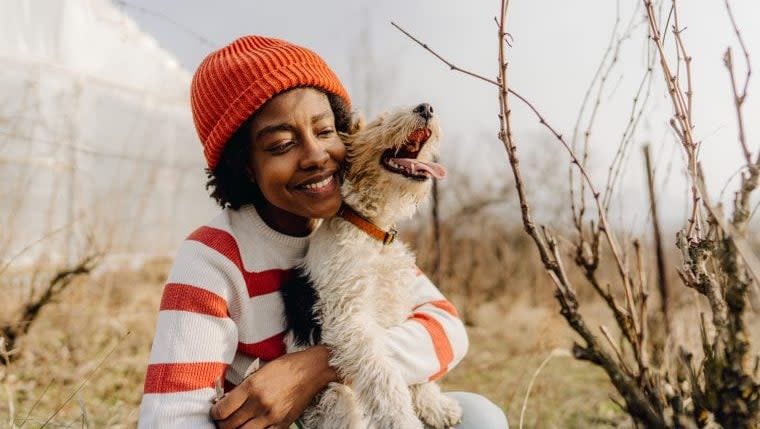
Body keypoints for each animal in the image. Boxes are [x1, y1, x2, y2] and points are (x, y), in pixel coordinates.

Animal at [284, 103, 464, 428]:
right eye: (380, 122)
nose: (426, 107)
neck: (371, 230)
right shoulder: (350, 319)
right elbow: (384, 374)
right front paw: (404, 420)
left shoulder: (394, 307)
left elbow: (413, 367)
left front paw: (436, 406)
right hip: (335, 402)